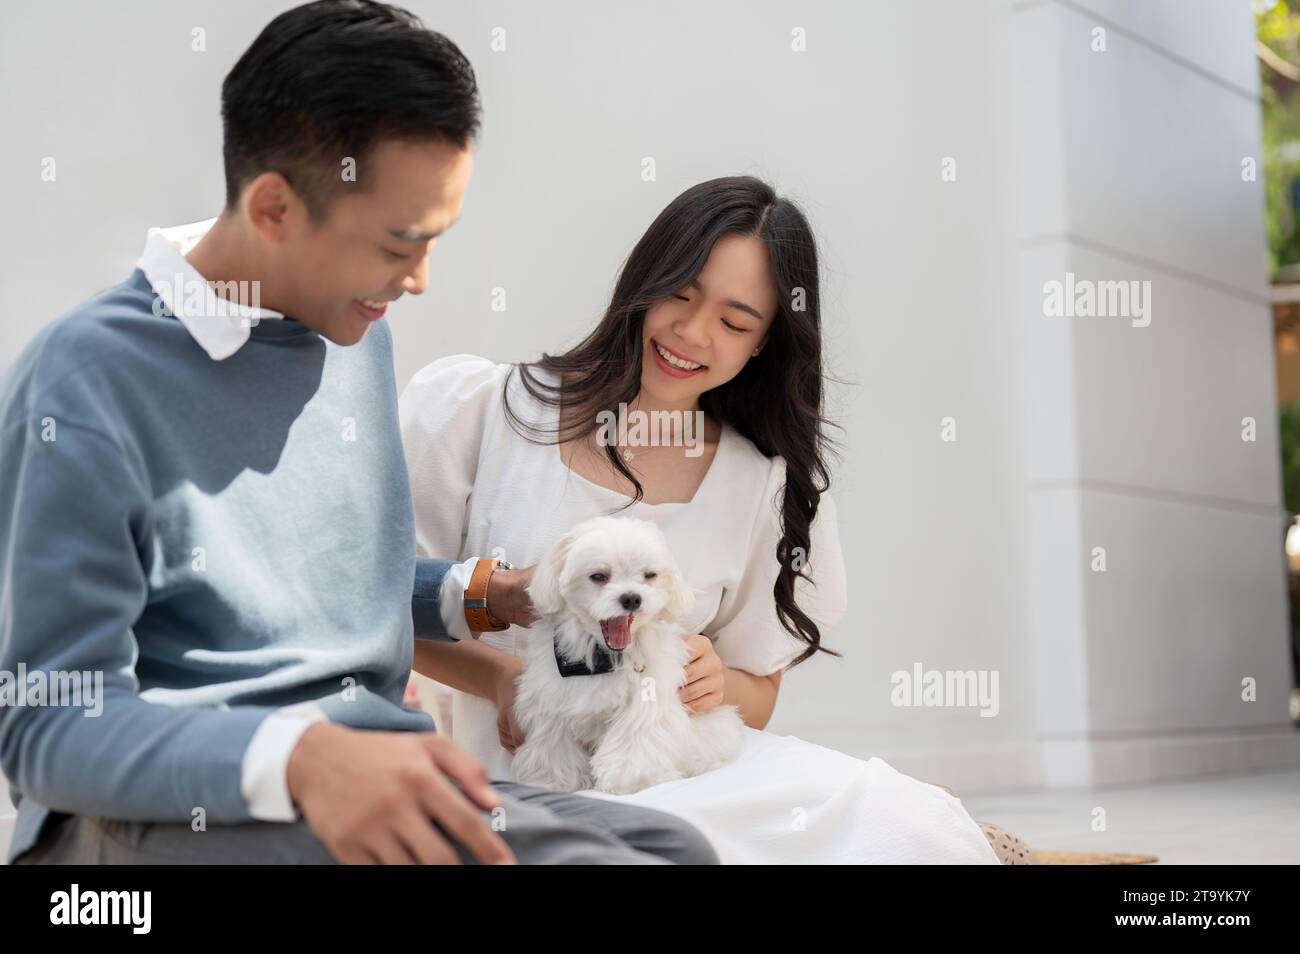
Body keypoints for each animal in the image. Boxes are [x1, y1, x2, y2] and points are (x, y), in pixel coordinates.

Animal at [512, 519, 748, 795]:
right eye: (598, 576)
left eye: (649, 575)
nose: (632, 597)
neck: (605, 658)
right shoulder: (552, 697)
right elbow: (553, 741)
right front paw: (550, 780)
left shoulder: (647, 698)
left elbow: (634, 735)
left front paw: (630, 779)